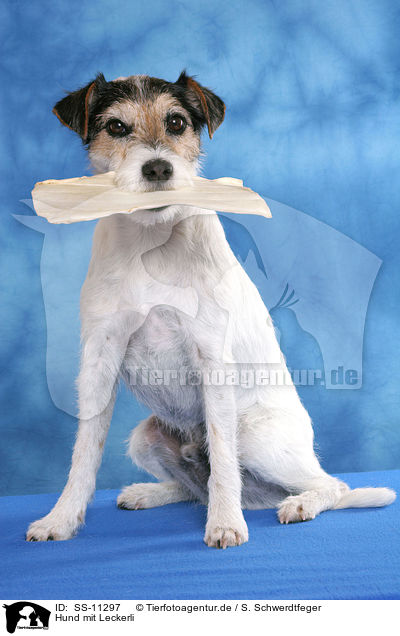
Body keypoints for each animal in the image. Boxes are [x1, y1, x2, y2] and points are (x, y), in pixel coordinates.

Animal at [26, 69, 396, 548]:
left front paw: (224, 523)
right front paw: (62, 518)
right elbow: (84, 453)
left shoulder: (211, 358)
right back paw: (151, 492)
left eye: (177, 122)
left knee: (329, 484)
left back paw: (298, 504)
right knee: (193, 488)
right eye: (116, 127)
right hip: (145, 436)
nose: (158, 168)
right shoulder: (100, 358)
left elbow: (221, 455)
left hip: (255, 436)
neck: (153, 242)